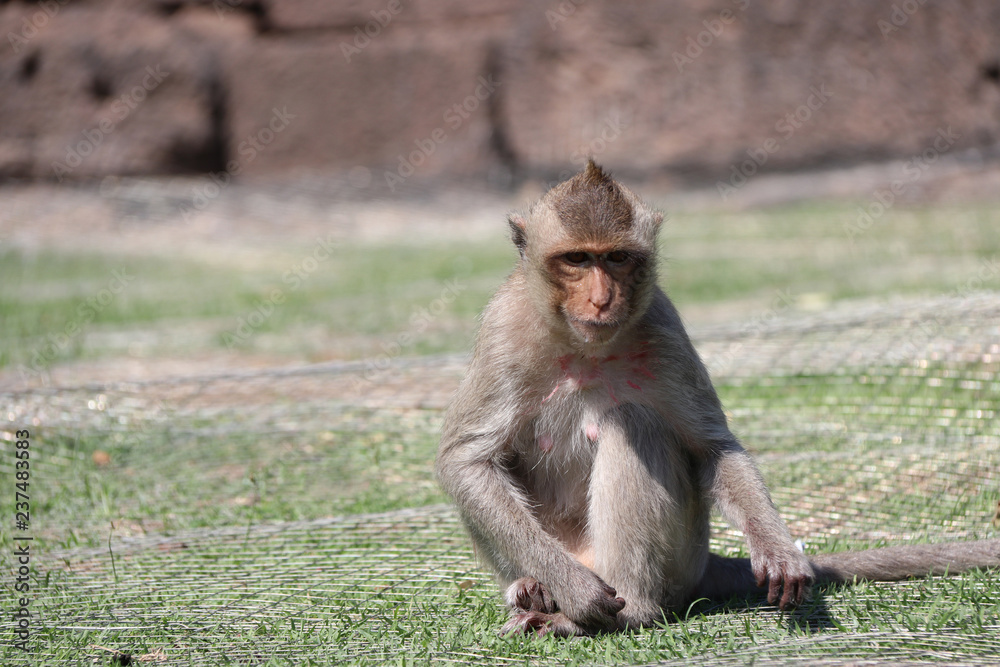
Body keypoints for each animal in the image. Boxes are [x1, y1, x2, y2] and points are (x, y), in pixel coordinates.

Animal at [435, 160, 1000, 637]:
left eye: (617, 258)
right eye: (576, 259)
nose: (601, 298)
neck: (584, 346)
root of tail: (704, 566)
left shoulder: (665, 329)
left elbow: (711, 447)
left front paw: (775, 546)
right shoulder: (504, 330)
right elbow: (467, 460)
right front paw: (574, 590)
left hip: (682, 558)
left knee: (633, 424)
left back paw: (629, 609)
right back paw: (539, 590)